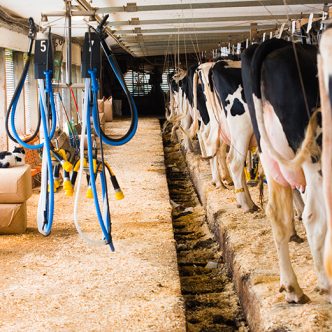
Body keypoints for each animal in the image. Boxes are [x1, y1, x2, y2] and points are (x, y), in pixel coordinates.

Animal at [241, 39, 330, 304]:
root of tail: (275, 45)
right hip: (312, 154)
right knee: (313, 216)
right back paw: (325, 286)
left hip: (270, 157)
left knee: (276, 215)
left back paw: (293, 289)